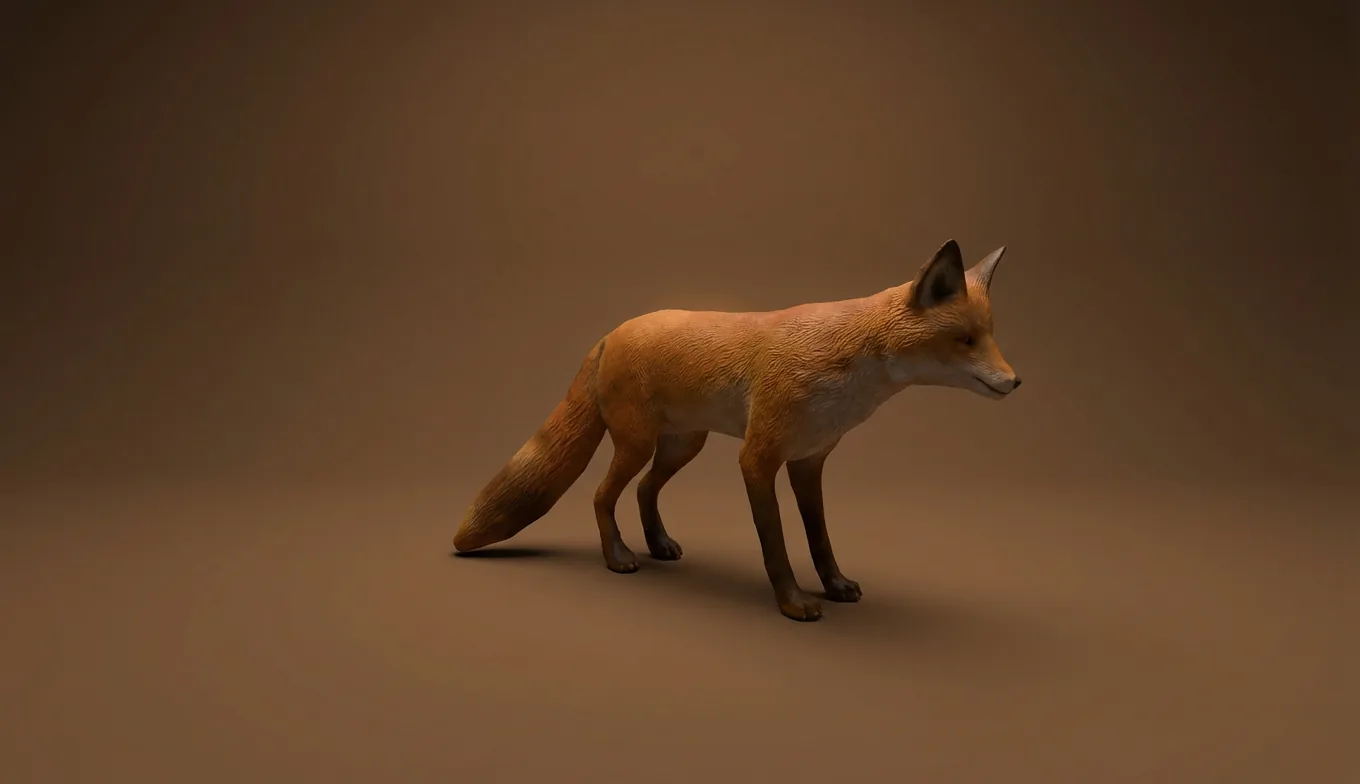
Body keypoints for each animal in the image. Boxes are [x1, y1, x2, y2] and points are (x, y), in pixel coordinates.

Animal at [453, 239, 1022, 622]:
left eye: (991, 336)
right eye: (964, 340)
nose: (1016, 382)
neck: (848, 366)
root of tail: (612, 332)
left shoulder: (808, 461)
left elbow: (820, 539)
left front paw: (835, 585)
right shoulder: (757, 459)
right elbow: (777, 545)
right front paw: (793, 603)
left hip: (682, 446)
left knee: (642, 491)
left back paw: (658, 544)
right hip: (638, 444)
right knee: (601, 495)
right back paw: (618, 558)